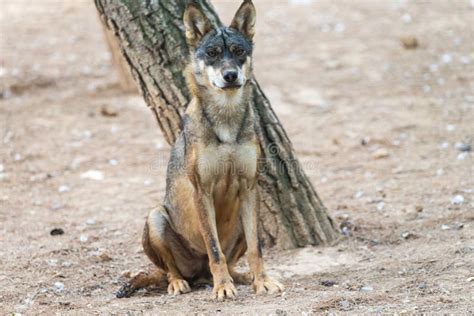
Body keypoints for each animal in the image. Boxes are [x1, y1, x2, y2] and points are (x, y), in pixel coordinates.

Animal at [117, 0, 284, 300]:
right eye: (212, 53)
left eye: (239, 51)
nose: (230, 75)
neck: (226, 118)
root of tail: (197, 272)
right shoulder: (201, 191)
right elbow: (214, 249)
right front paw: (223, 288)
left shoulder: (249, 187)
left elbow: (257, 249)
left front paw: (262, 282)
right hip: (156, 217)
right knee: (173, 269)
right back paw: (180, 283)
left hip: (241, 220)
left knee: (230, 261)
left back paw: (242, 277)